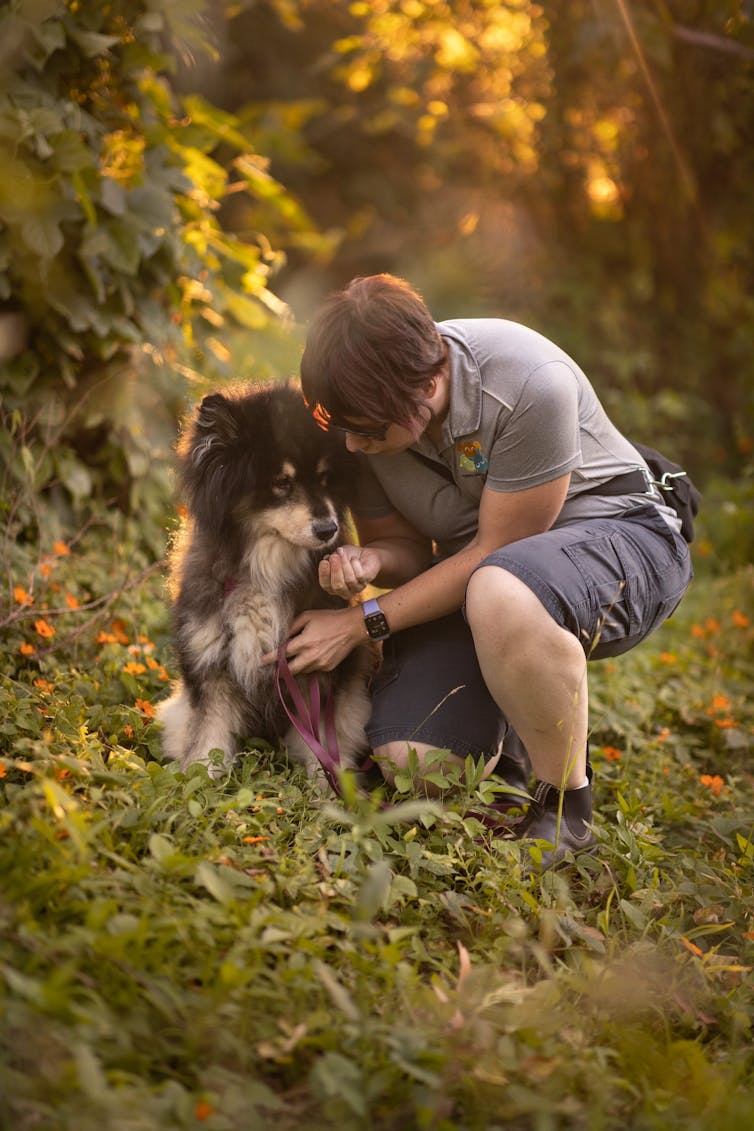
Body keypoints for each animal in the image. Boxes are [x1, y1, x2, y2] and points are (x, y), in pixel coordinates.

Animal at [158, 380, 370, 778]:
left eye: (325, 478)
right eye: (282, 483)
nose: (328, 529)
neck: (268, 568)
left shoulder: (317, 668)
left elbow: (324, 742)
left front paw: (330, 789)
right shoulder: (214, 665)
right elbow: (207, 738)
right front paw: (198, 780)